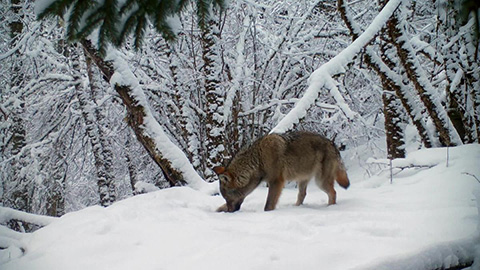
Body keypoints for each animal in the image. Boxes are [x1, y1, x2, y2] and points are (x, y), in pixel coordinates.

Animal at [214, 131, 348, 213]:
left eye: (228, 197)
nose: (230, 211)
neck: (258, 159)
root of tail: (332, 144)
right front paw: (219, 209)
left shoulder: (275, 181)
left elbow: (268, 205)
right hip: (302, 180)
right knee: (302, 195)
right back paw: (296, 208)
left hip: (320, 182)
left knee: (333, 193)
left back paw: (330, 208)